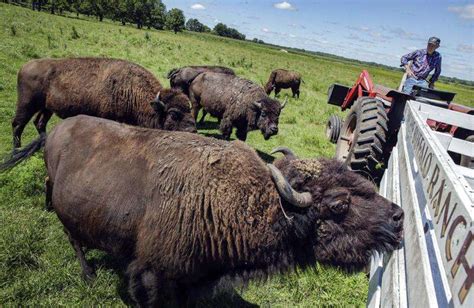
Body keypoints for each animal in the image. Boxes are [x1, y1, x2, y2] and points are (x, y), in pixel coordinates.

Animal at [0, 114, 404, 306]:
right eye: (339, 204)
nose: (398, 218)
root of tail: (54, 132)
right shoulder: (150, 273)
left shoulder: (190, 280)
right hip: (67, 214)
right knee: (75, 241)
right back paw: (88, 275)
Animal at [11, 57, 196, 150]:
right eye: (173, 114)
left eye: (189, 109)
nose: (193, 131)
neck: (130, 90)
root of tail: (24, 66)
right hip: (26, 105)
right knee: (17, 124)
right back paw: (17, 149)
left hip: (46, 108)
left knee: (39, 123)